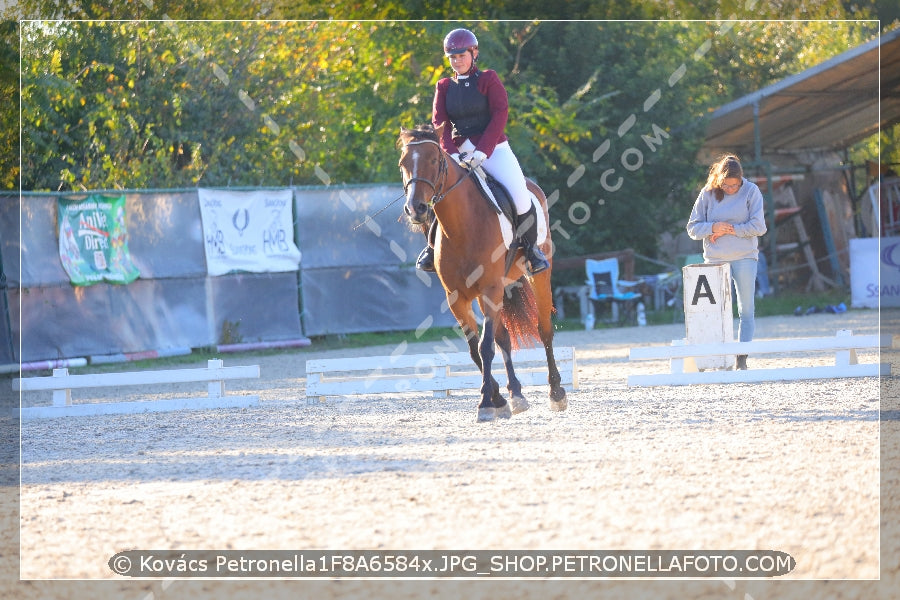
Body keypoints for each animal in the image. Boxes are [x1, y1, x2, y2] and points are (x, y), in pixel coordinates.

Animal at [398, 123, 568, 422]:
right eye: (402, 164)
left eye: (434, 160)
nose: (415, 209)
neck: (461, 226)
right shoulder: (457, 297)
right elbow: (475, 348)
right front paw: (497, 399)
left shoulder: (491, 289)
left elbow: (485, 347)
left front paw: (486, 404)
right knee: (504, 338)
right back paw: (516, 395)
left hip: (536, 275)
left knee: (544, 329)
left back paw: (556, 393)